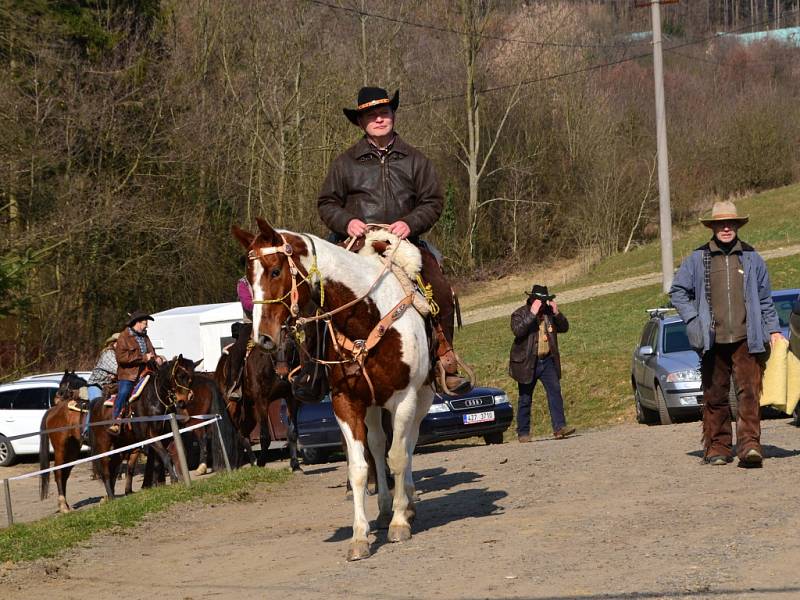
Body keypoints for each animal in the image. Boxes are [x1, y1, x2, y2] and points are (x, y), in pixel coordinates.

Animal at [231, 220, 434, 564]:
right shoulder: (346, 402)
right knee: (377, 445)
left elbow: (398, 455)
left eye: (275, 271)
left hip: (422, 396)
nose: (264, 338)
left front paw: (399, 522)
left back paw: (406, 503)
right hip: (372, 405)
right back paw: (384, 510)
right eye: (248, 276)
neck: (367, 317)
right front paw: (360, 537)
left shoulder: (404, 397)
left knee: (408, 445)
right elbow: (358, 468)